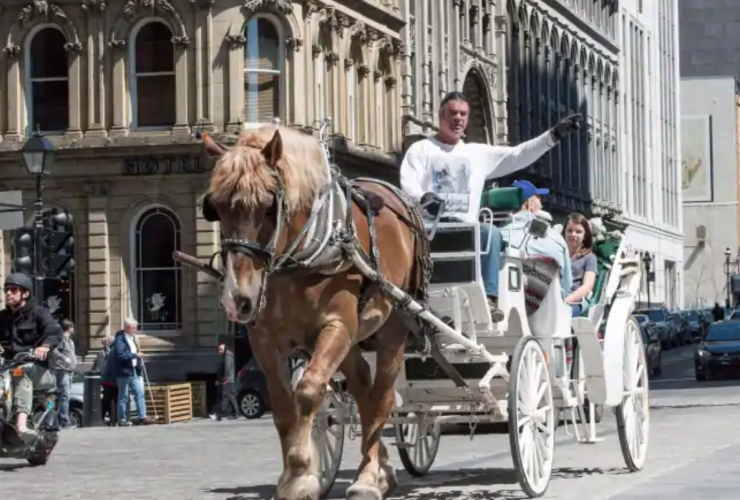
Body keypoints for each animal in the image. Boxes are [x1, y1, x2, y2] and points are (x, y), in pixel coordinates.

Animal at [199, 126, 430, 500]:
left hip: (392, 329)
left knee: (380, 399)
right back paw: (380, 468)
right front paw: (294, 476)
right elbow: (283, 406)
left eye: (268, 206)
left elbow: (308, 392)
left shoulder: (336, 326)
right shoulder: (263, 339)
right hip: (353, 342)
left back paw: (368, 478)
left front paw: (300, 474)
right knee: (364, 392)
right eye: (215, 208)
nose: (237, 298)